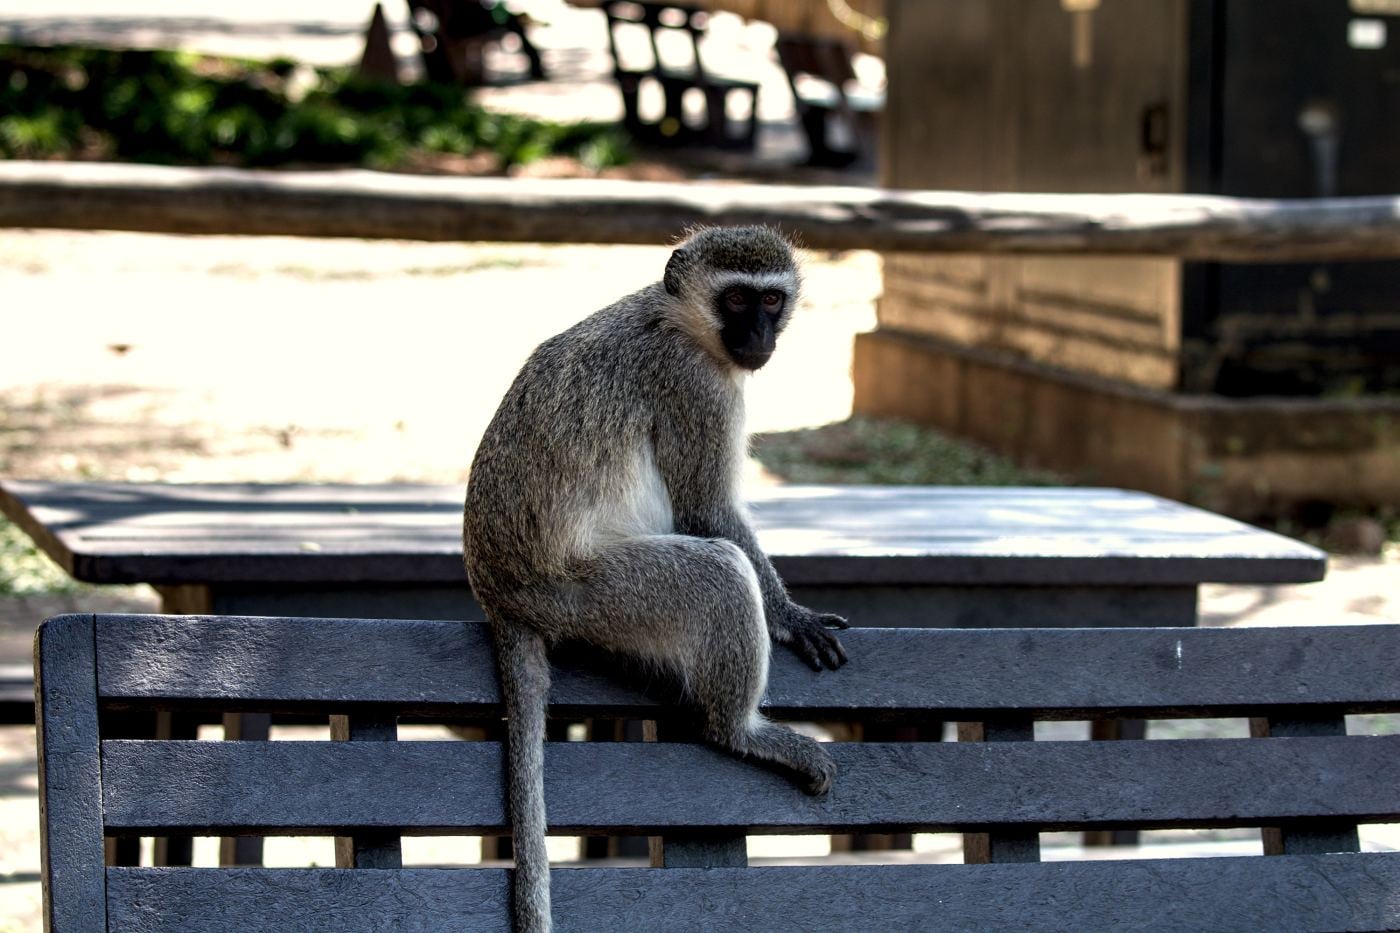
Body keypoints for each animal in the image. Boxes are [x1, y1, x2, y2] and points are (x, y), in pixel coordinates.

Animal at [463, 225, 849, 933]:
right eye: (736, 300)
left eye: (771, 301)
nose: (759, 336)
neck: (678, 318)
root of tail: (499, 591)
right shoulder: (694, 386)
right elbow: (708, 511)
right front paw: (792, 616)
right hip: (595, 595)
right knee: (717, 574)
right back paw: (741, 731)